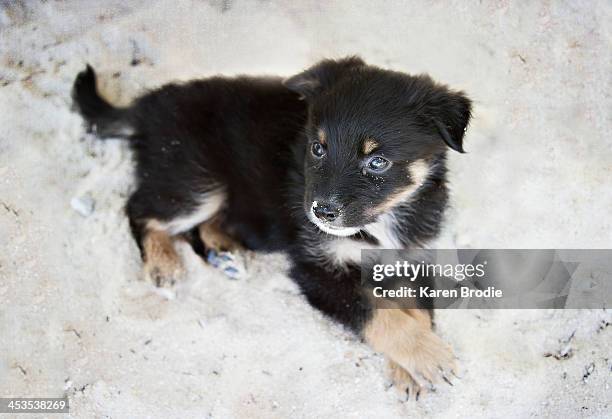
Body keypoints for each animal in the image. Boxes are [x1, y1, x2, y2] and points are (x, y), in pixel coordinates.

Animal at [73, 57, 474, 398]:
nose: (320, 212)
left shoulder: (414, 255)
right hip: (197, 181)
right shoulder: (314, 269)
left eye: (377, 162)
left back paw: (225, 252)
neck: (384, 219)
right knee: (140, 209)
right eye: (317, 148)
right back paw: (163, 263)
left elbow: (416, 310)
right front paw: (427, 356)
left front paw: (411, 367)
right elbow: (377, 311)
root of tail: (148, 106)